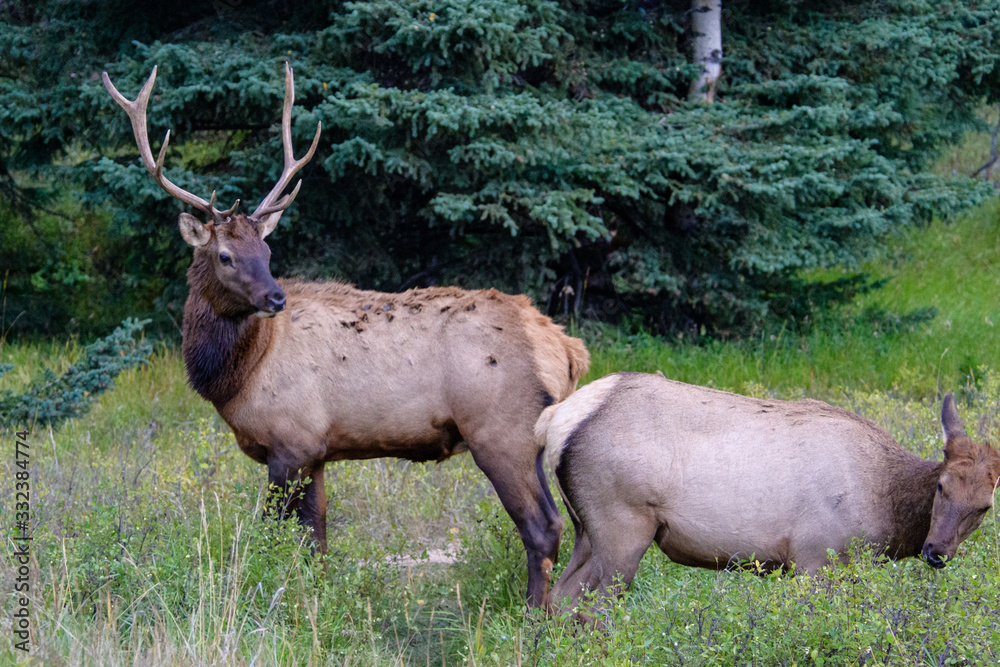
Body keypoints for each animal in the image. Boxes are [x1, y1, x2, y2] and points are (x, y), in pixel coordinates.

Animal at [102, 63, 590, 607]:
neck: (238, 375)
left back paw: (533, 614)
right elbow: (317, 542)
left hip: (503, 429)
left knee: (544, 527)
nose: (275, 298)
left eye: (267, 252)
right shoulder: (314, 452)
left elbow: (276, 535)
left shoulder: (289, 442)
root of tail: (568, 349)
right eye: (227, 255)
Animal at [536, 372, 1000, 620]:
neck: (886, 508)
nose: (936, 551)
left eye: (984, 507)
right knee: (592, 610)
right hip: (623, 525)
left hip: (585, 527)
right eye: (941, 486)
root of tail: (554, 420)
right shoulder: (815, 558)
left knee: (556, 601)